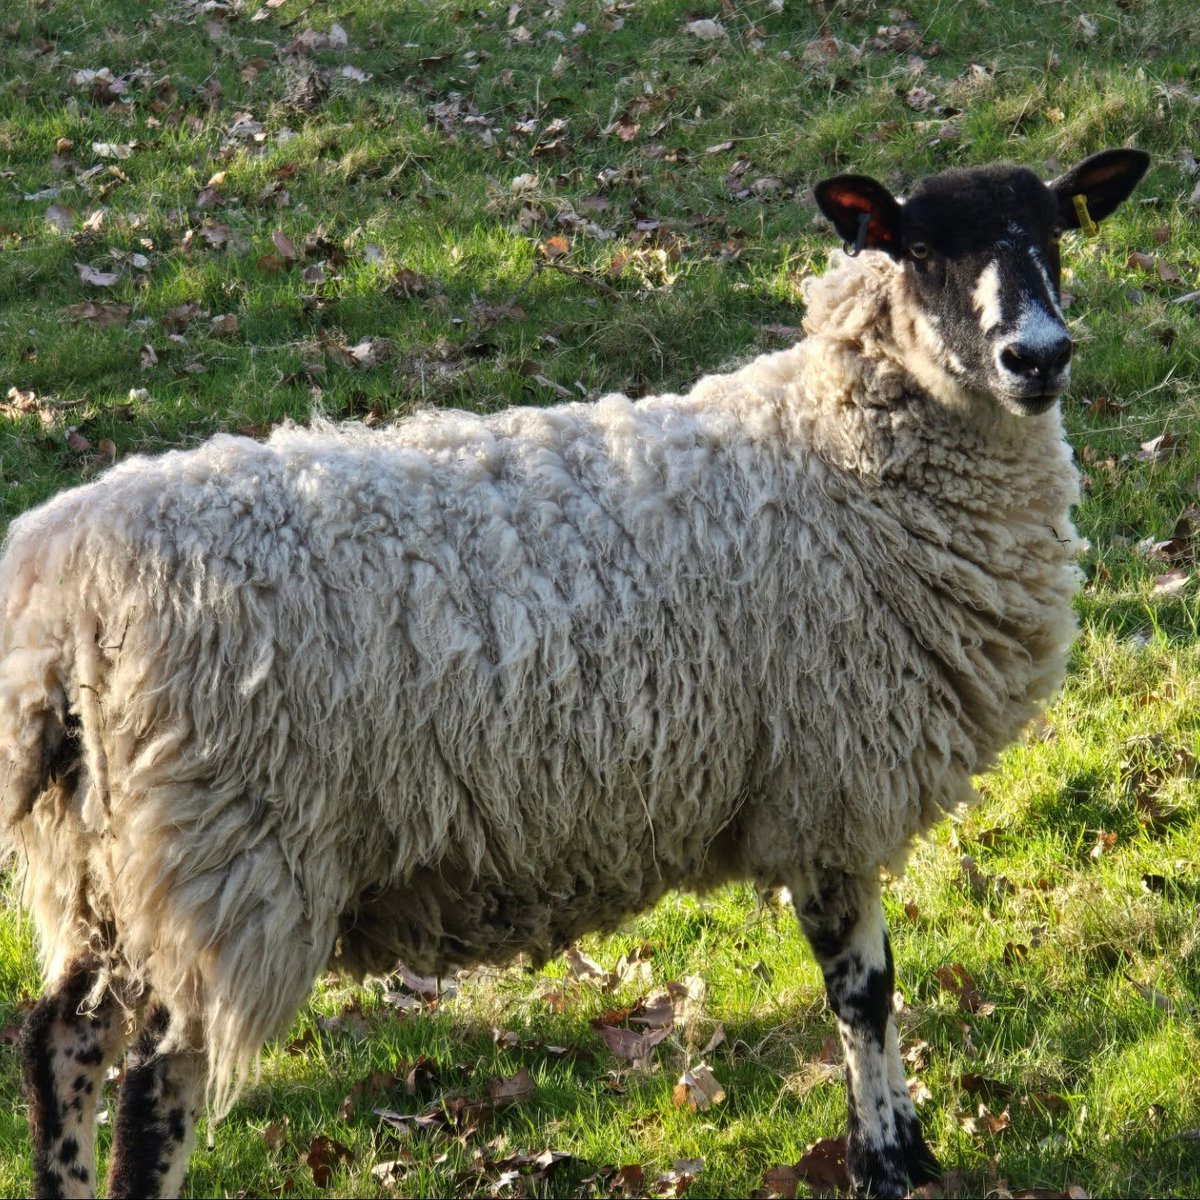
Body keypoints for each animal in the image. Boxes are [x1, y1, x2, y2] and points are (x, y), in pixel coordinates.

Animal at [0, 147, 1148, 1199]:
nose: (1038, 355)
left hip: (105, 862)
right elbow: (863, 992)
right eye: (918, 251)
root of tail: (58, 603)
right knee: (153, 1089)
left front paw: (899, 1148)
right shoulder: (831, 784)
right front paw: (890, 1159)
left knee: (61, 1043)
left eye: (1055, 233)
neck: (839, 457)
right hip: (225, 864)